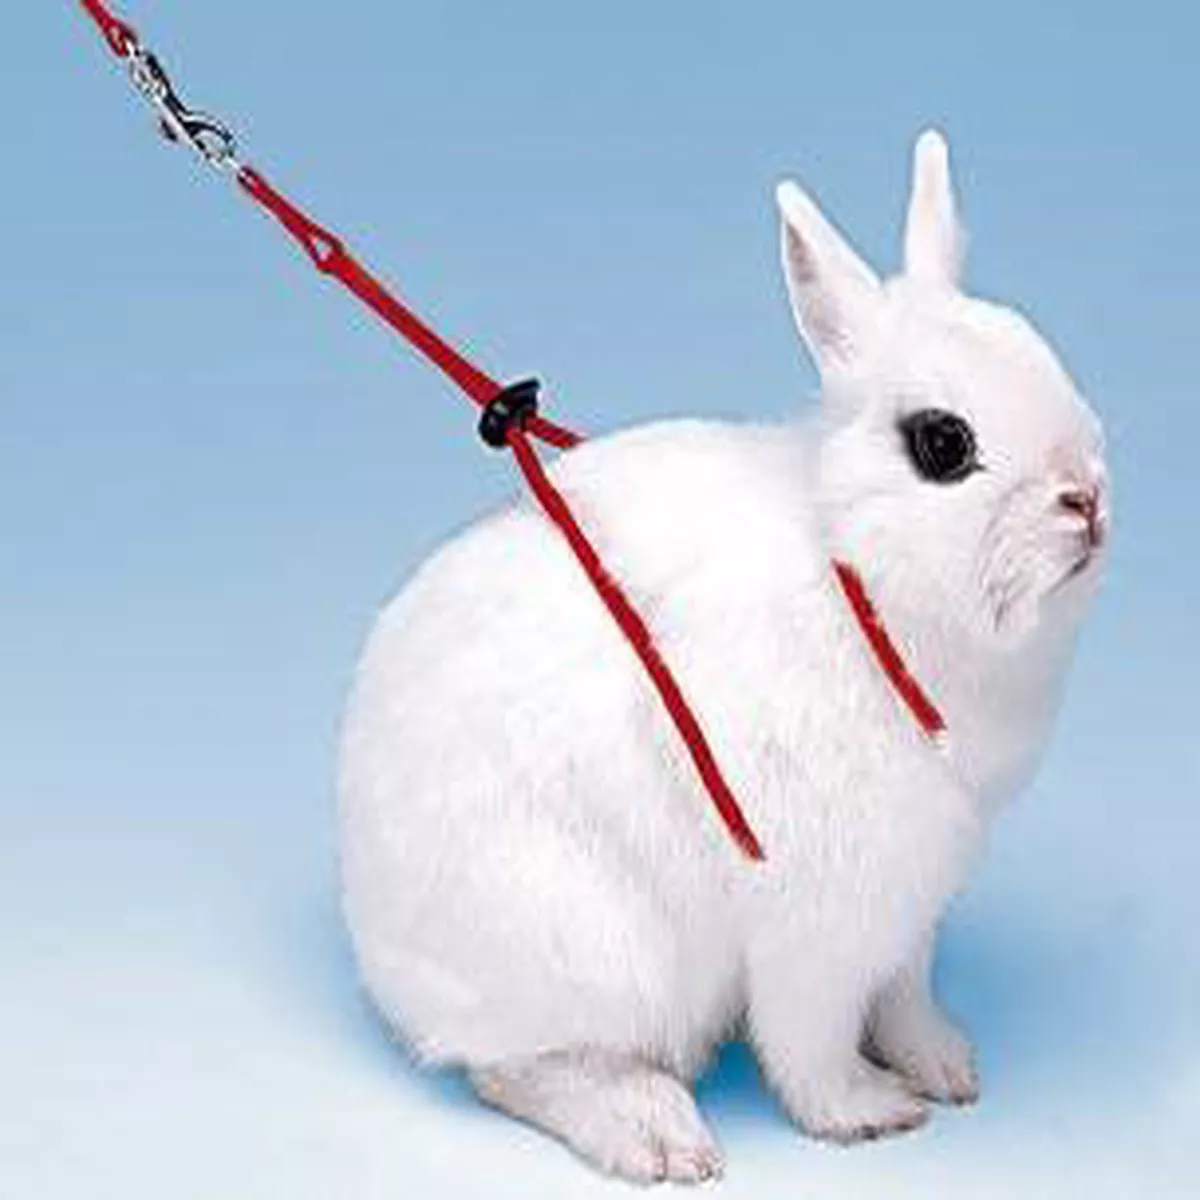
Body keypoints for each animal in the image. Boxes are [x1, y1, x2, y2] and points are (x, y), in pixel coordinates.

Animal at [337, 129, 1109, 1184]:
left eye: (1043, 355)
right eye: (942, 444)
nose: (1088, 498)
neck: (862, 580)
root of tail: (377, 940)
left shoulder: (908, 908)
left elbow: (905, 996)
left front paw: (950, 1069)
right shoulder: (817, 923)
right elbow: (808, 1040)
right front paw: (870, 1112)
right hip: (602, 955)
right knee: (519, 1068)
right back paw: (661, 1138)